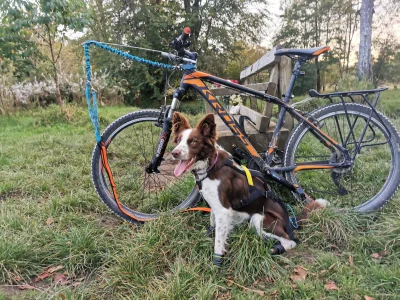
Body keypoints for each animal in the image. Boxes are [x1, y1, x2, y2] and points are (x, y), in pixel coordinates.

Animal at [170, 112, 330, 264]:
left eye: (193, 142)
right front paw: (207, 236)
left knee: (290, 241)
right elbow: (213, 224)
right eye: (178, 141)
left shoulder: (223, 210)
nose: (174, 153)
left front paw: (217, 263)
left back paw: (273, 249)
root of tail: (290, 221)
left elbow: (218, 242)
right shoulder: (215, 207)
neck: (210, 164)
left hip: (260, 219)